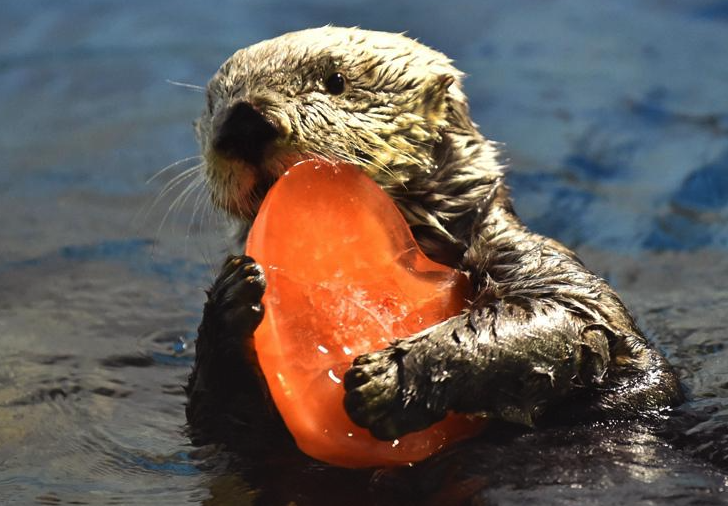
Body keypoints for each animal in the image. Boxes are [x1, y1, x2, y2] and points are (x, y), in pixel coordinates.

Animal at [185, 26, 684, 454]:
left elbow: (562, 315)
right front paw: (234, 293)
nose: (243, 120)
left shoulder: (530, 256)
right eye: (213, 103)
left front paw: (389, 378)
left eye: (336, 81)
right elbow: (219, 417)